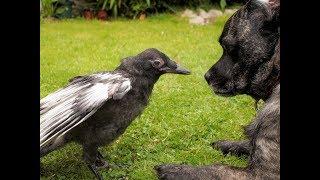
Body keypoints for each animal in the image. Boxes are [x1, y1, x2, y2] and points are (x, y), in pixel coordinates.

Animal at [156, 0, 280, 179]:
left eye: (227, 46)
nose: (206, 76)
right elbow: (248, 143)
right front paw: (227, 144)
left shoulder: (262, 173)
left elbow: (218, 168)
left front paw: (176, 169)